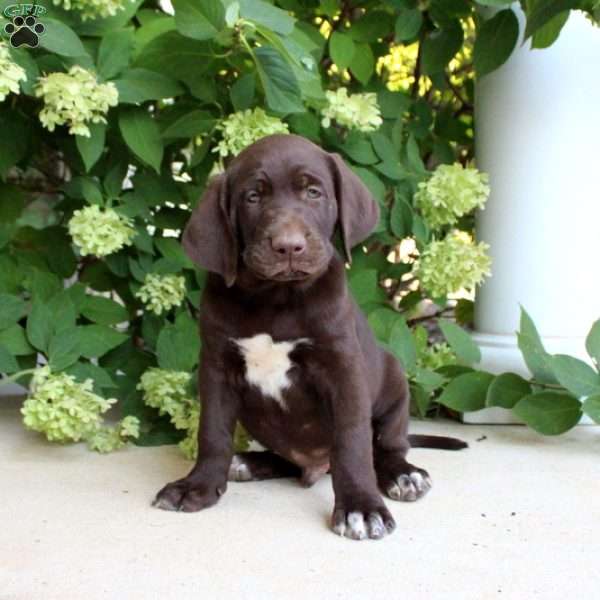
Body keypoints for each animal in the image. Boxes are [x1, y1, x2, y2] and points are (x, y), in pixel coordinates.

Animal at [154, 134, 464, 540]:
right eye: (253, 197)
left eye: (313, 192)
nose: (288, 246)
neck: (275, 297)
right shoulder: (217, 366)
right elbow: (213, 432)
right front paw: (197, 485)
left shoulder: (342, 368)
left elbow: (352, 442)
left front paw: (361, 507)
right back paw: (249, 462)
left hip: (395, 380)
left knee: (387, 446)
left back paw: (402, 475)